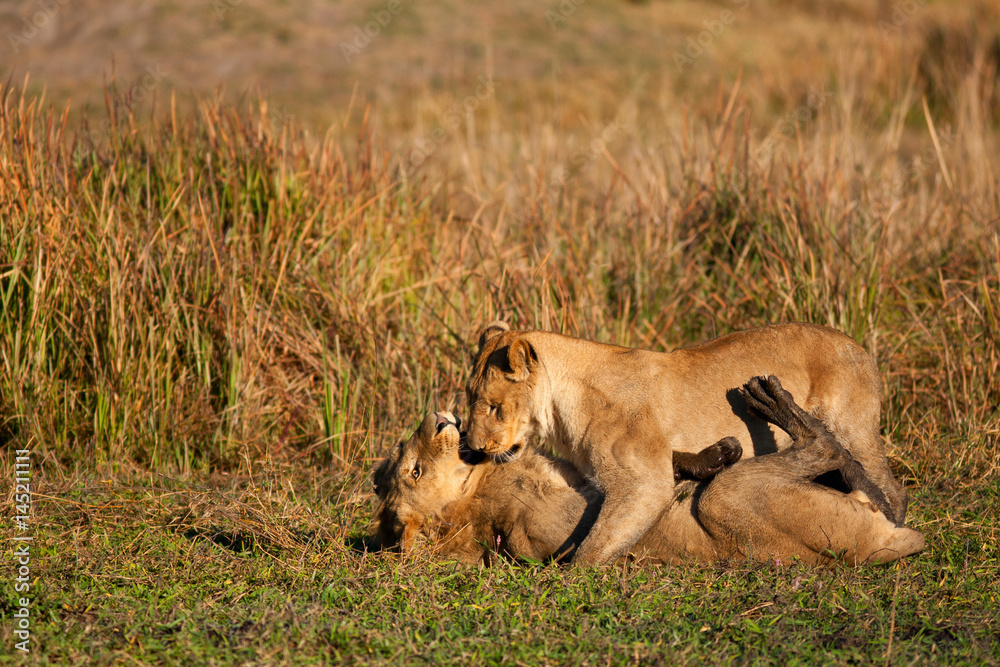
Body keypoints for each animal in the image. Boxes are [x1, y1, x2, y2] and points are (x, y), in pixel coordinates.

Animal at [372, 376, 925, 566]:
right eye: (415, 471)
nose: (437, 418)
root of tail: (883, 549)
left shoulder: (582, 472)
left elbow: (669, 465)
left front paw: (713, 453)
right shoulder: (562, 517)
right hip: (728, 501)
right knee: (827, 449)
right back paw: (772, 400)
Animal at [464, 322, 909, 565]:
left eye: (493, 406)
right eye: (469, 397)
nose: (470, 446)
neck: (559, 409)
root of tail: (855, 344)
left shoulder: (642, 483)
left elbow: (591, 550)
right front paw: (717, 456)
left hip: (854, 429)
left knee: (889, 492)